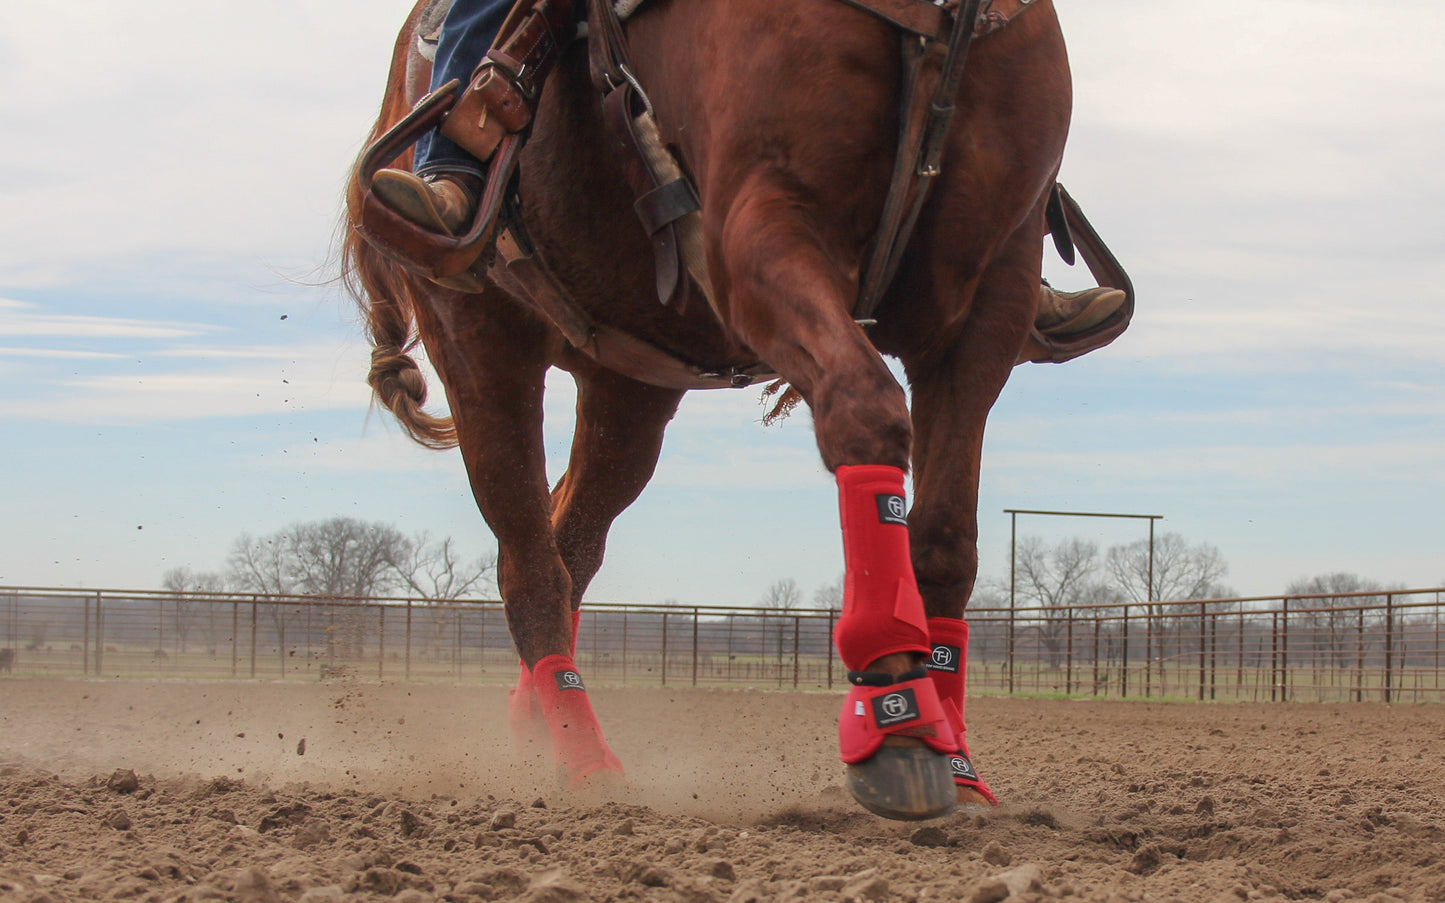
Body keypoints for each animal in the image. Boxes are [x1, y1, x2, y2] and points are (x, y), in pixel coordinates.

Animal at [343, 0, 1075, 814]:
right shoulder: (758, 233)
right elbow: (866, 410)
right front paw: (898, 717)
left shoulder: (991, 298)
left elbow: (946, 538)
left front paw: (956, 761)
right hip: (478, 341)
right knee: (530, 565)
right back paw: (587, 764)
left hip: (628, 390)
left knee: (570, 545)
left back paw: (535, 726)